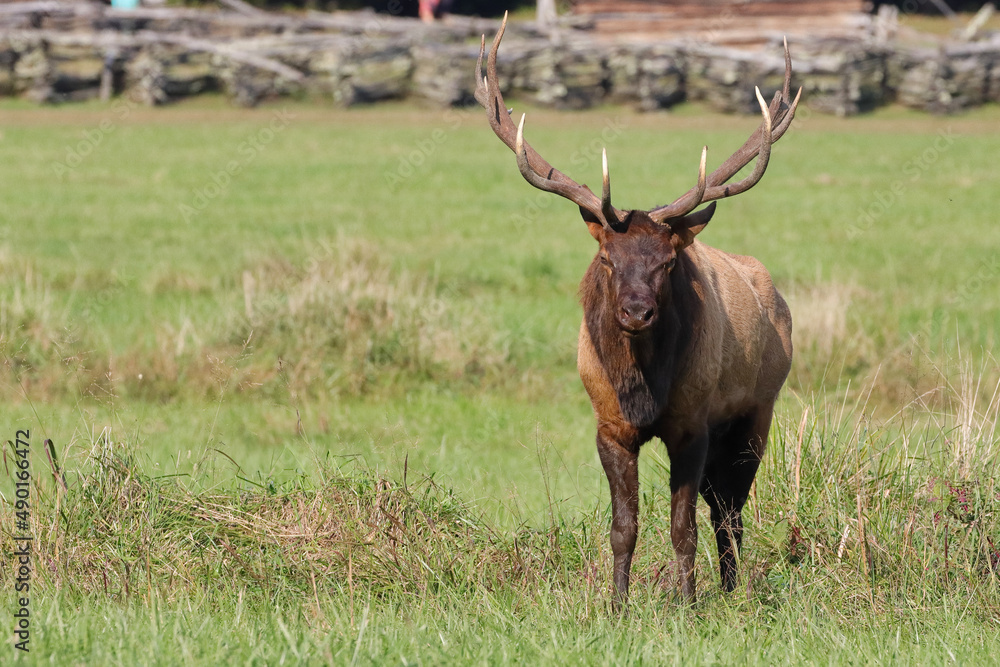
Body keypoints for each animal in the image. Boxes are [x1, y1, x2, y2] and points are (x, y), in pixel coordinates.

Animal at [472, 17, 800, 612]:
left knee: (729, 511)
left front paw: (687, 606)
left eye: (668, 261)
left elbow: (683, 526)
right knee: (723, 506)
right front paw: (617, 605)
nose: (637, 312)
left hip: (756, 411)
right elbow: (623, 526)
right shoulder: (608, 425)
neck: (643, 389)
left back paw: (729, 589)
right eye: (607, 257)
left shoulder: (693, 423)